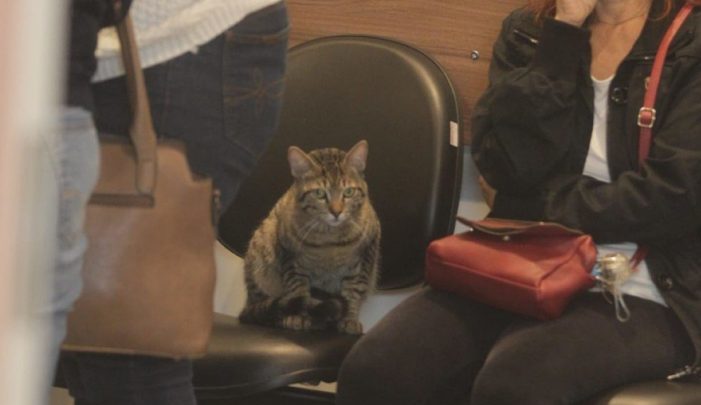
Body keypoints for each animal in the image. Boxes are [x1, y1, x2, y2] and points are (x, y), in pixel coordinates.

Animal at [241, 139, 382, 332]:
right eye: (319, 193)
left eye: (348, 192)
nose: (336, 212)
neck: (330, 242)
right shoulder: (290, 256)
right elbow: (298, 289)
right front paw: (298, 316)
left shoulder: (367, 255)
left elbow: (353, 291)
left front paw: (349, 318)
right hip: (261, 249)